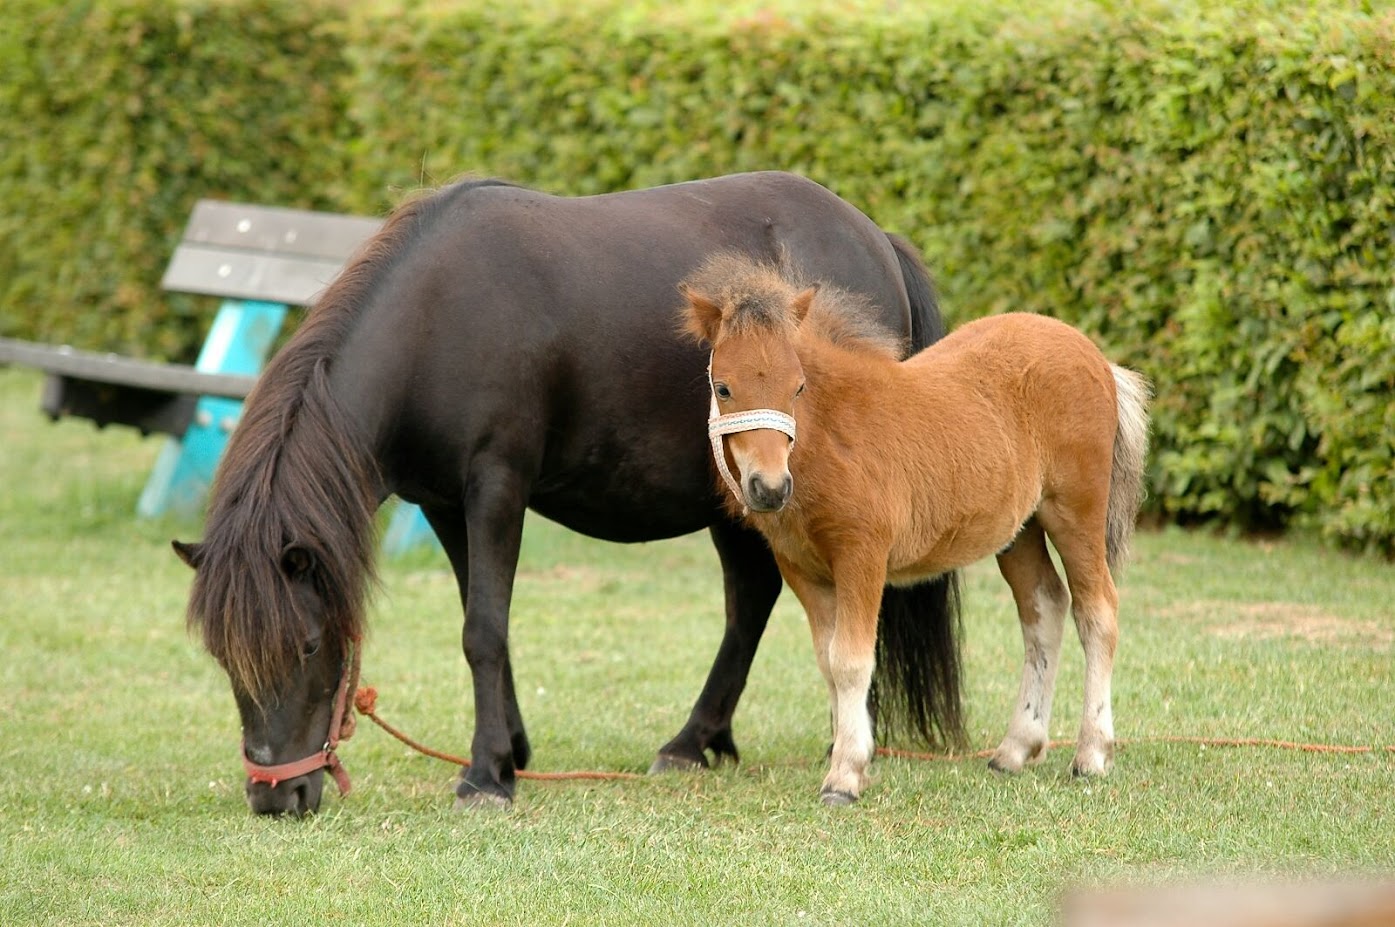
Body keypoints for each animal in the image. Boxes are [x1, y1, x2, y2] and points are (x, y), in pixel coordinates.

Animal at [170, 171, 962, 815]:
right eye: (222, 657)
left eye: (307, 645)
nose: (275, 797)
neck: (440, 319)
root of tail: (875, 240)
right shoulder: (442, 504)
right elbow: (483, 621)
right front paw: (509, 751)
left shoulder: (496, 484)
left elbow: (483, 629)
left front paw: (484, 777)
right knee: (749, 600)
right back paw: (698, 741)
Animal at [680, 254, 1151, 806]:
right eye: (723, 388)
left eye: (797, 386)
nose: (770, 488)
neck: (831, 437)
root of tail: (1097, 359)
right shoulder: (801, 568)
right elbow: (827, 661)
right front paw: (855, 759)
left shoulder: (862, 555)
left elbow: (850, 661)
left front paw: (844, 777)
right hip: (1020, 530)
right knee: (1044, 608)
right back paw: (1016, 749)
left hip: (1075, 510)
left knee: (1097, 612)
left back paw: (1092, 754)